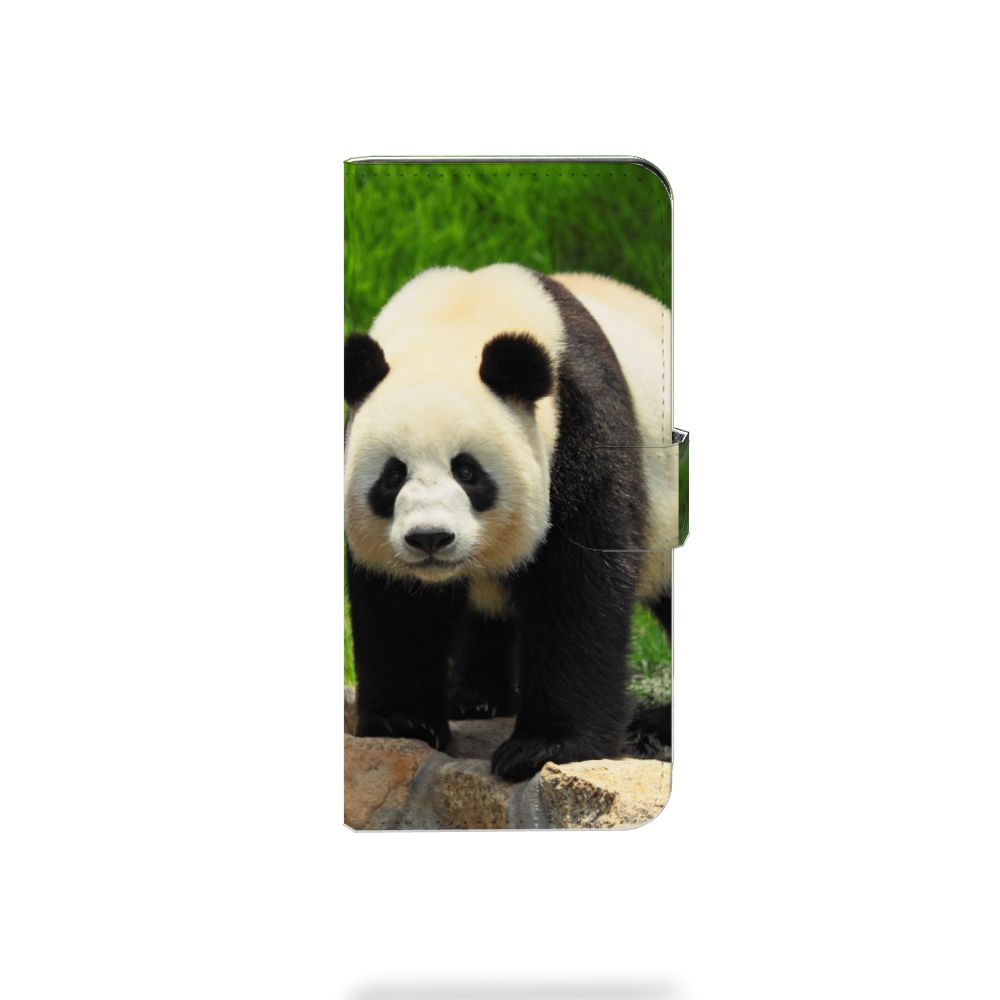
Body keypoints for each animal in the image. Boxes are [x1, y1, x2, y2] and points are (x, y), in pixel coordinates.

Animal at [345, 263, 675, 781]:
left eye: (467, 471)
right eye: (392, 475)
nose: (430, 538)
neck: (457, 319)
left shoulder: (580, 424)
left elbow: (578, 586)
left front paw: (543, 747)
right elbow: (396, 603)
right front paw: (404, 722)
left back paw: (658, 723)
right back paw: (479, 698)